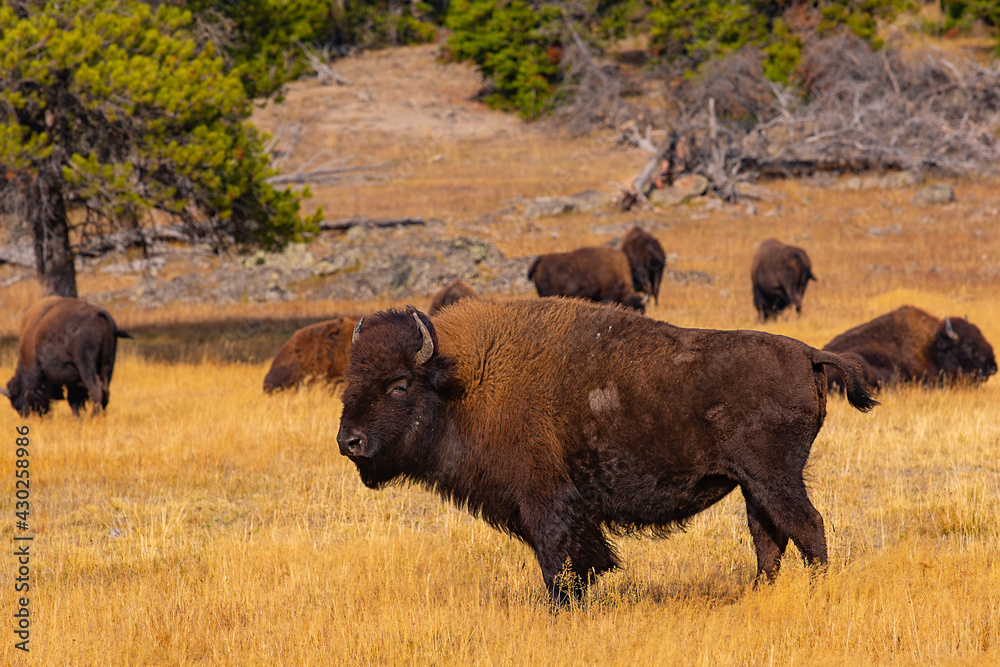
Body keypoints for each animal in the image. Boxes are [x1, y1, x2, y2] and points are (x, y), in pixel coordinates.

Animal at [2, 298, 133, 418]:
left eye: (16, 397)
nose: (24, 414)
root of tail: (97, 313)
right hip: (108, 363)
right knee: (105, 390)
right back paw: (102, 416)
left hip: (87, 366)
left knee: (97, 389)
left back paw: (93, 417)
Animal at [334, 298, 876, 604]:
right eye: (349, 378)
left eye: (399, 384)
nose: (349, 441)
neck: (463, 379)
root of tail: (808, 355)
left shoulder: (548, 505)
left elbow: (562, 563)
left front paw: (562, 610)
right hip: (752, 485)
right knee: (769, 540)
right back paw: (757, 596)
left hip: (774, 477)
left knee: (807, 528)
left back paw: (817, 594)